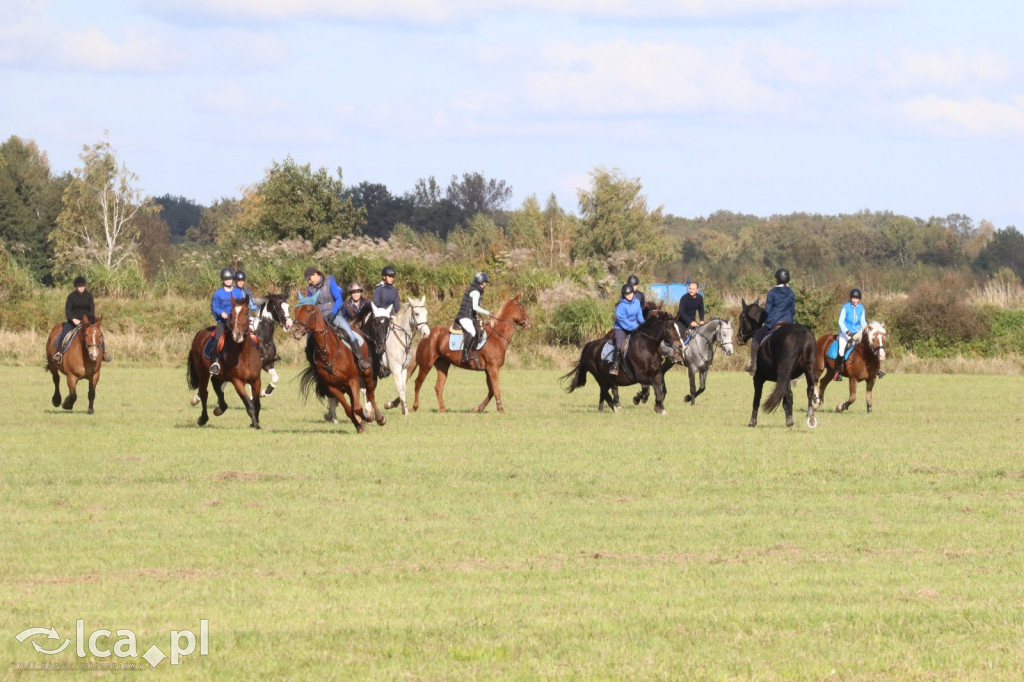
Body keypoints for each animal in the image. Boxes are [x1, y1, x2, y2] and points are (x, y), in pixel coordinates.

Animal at [187, 292, 264, 430]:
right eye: (231, 314)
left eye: (246, 313)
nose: (237, 335)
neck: (244, 354)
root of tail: (200, 334)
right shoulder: (237, 381)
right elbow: (249, 404)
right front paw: (255, 424)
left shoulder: (256, 380)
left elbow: (257, 404)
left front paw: (255, 423)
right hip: (203, 373)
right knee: (204, 393)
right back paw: (203, 418)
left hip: (221, 375)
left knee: (215, 383)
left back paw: (220, 408)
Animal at [290, 290, 385, 430]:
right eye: (296, 310)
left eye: (308, 310)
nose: (295, 330)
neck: (328, 351)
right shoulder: (333, 386)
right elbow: (349, 409)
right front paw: (359, 426)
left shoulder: (353, 380)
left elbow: (357, 407)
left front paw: (366, 418)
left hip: (366, 373)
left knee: (370, 395)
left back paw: (379, 418)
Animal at [741, 296, 819, 425]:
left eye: (741, 317)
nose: (739, 337)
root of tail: (801, 333)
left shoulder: (758, 378)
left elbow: (757, 398)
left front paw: (752, 421)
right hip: (808, 369)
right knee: (809, 390)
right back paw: (809, 415)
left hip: (784, 373)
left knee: (789, 395)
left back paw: (790, 420)